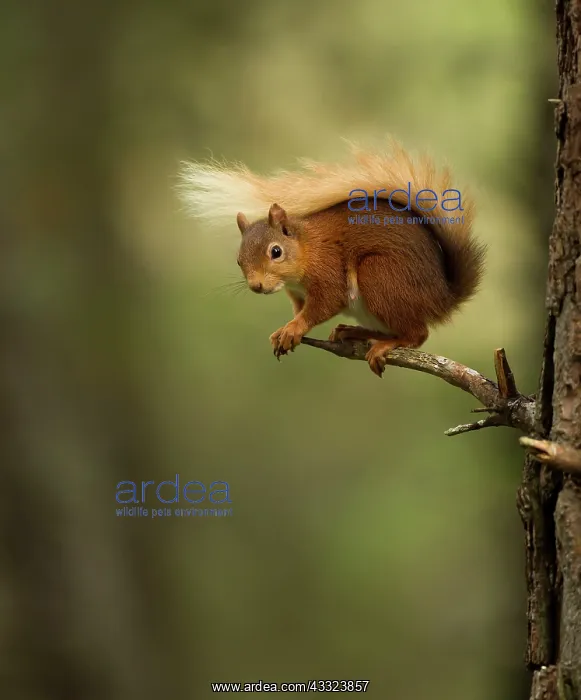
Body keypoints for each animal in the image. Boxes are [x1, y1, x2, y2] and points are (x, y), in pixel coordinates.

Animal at [180, 140, 486, 377]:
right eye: (239, 260)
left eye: (276, 252)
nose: (257, 286)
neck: (307, 249)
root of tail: (442, 297)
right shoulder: (297, 295)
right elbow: (301, 309)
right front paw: (285, 331)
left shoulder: (328, 273)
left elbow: (323, 305)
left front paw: (293, 328)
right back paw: (354, 332)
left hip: (379, 275)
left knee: (417, 334)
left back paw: (384, 344)